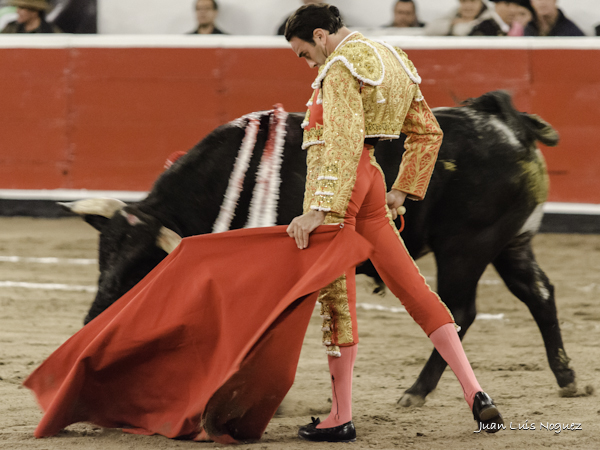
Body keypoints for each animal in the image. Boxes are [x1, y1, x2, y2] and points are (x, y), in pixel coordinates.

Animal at [61, 91, 582, 405]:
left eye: (142, 269)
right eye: (103, 259)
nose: (92, 322)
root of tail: (506, 122)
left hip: (466, 248)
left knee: (460, 309)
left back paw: (416, 390)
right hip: (510, 242)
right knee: (539, 293)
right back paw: (567, 378)